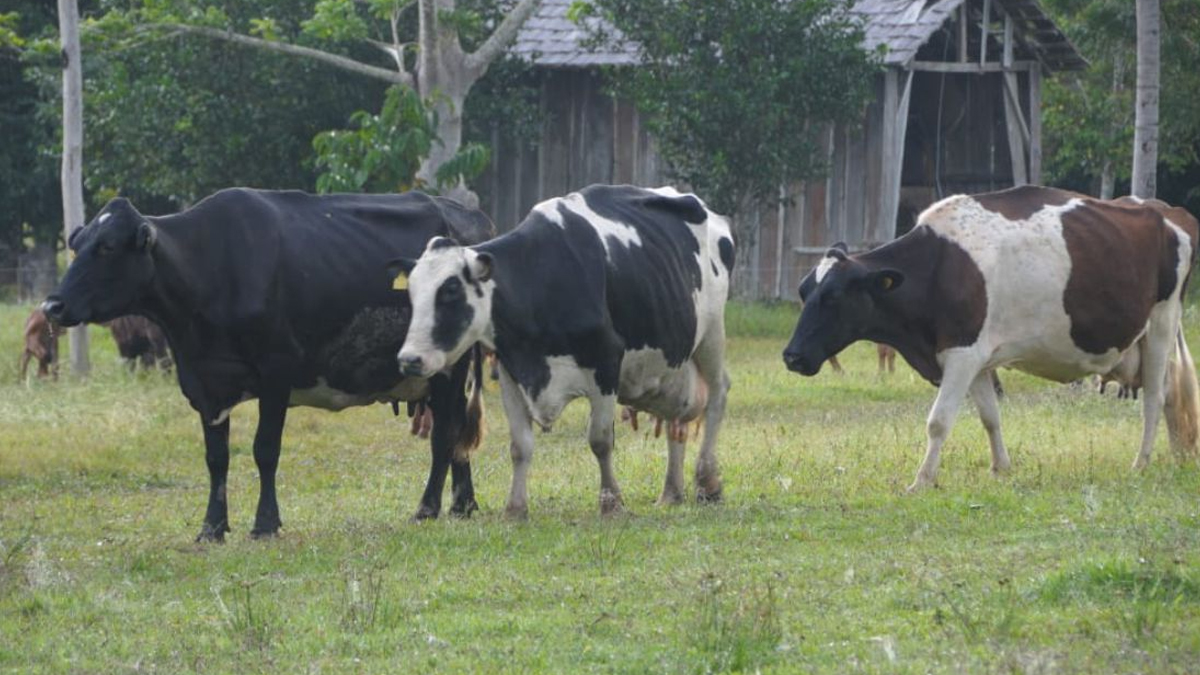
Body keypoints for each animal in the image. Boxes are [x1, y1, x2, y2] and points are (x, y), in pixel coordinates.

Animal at [42, 186, 492, 538]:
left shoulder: (276, 374)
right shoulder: (204, 383)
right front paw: (212, 527)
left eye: (107, 247)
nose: (52, 305)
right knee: (456, 426)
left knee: (444, 431)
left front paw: (264, 523)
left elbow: (265, 450)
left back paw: (428, 507)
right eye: (76, 245)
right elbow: (216, 458)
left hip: (448, 366)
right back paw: (463, 504)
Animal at [393, 183, 734, 514]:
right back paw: (671, 492)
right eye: (411, 292)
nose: (409, 359)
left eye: (451, 291)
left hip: (712, 335)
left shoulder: (606, 362)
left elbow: (600, 440)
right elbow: (520, 445)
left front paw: (611, 503)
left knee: (718, 395)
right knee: (679, 416)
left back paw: (708, 482)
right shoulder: (511, 369)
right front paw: (515, 509)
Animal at [782, 186, 1195, 492]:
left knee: (1155, 397)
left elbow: (939, 421)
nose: (792, 356)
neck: (938, 266)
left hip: (1161, 322)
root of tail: (1166, 210)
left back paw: (1141, 462)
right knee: (1170, 394)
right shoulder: (976, 358)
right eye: (804, 291)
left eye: (833, 297)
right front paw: (1000, 468)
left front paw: (921, 481)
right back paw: (1177, 454)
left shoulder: (961, 353)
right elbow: (989, 417)